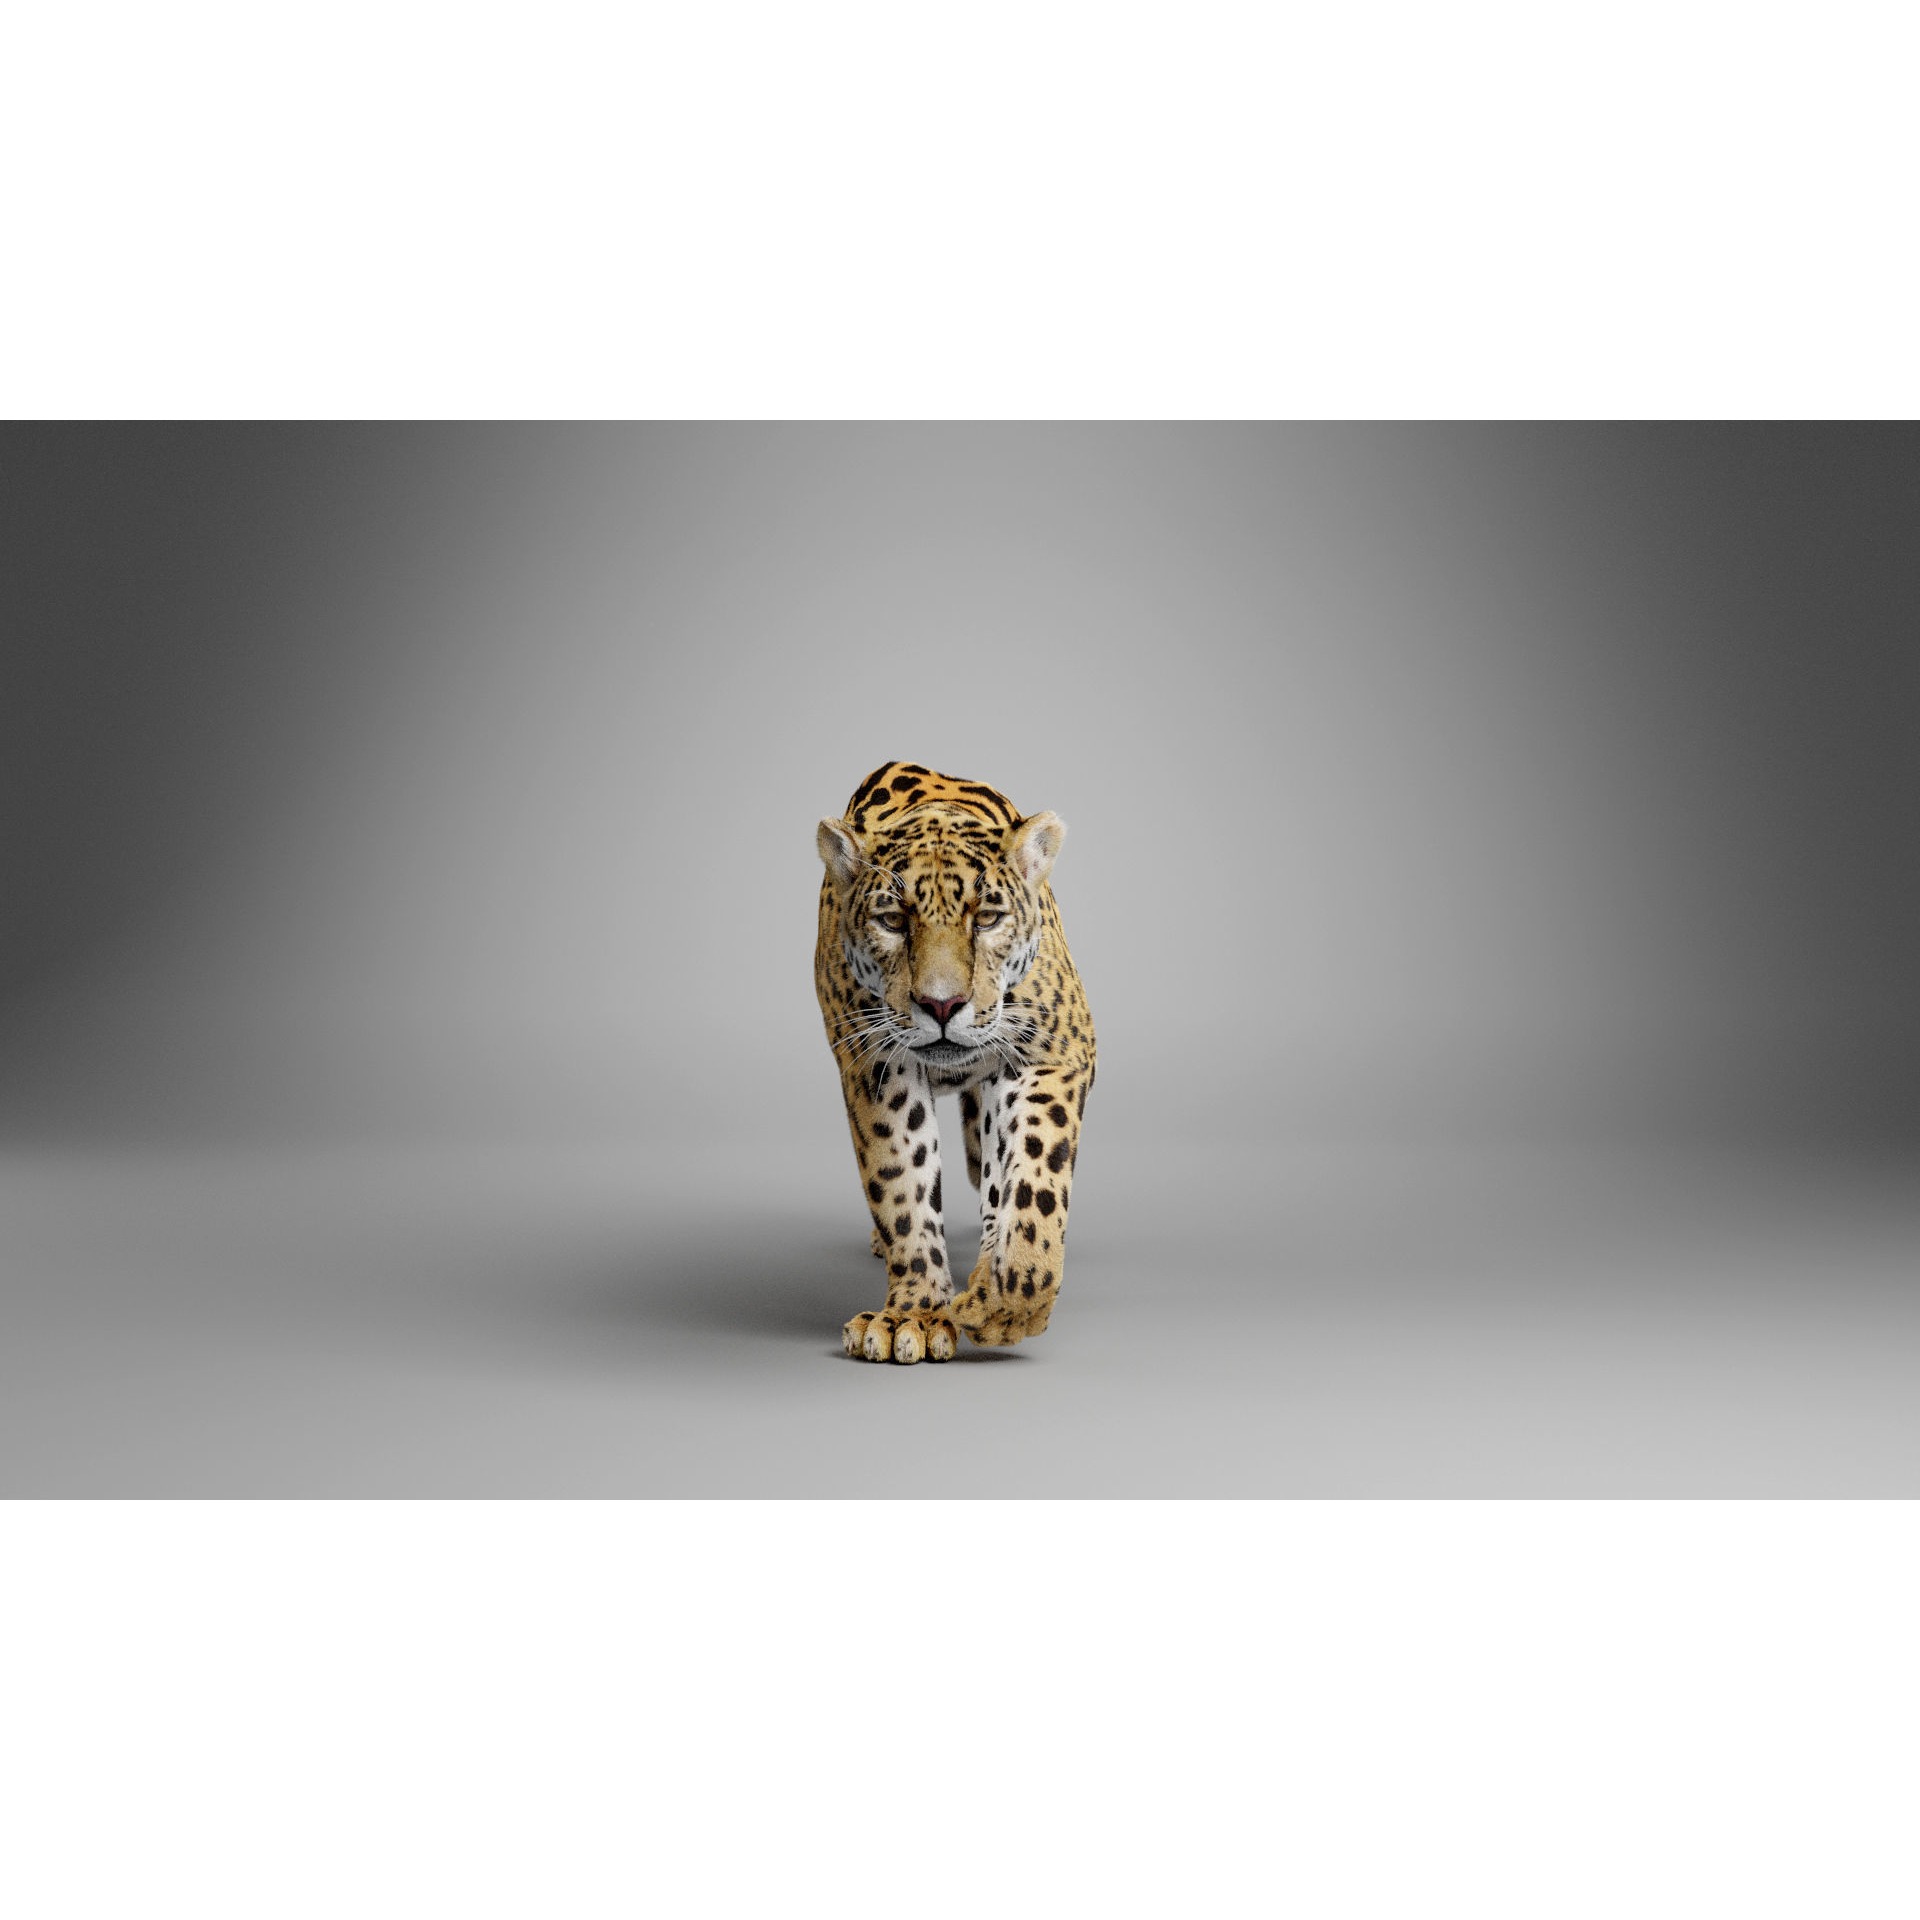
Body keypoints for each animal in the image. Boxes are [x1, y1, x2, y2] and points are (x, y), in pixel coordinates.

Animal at [815, 761, 1096, 1363]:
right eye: (893, 920)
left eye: (987, 917)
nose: (941, 1005)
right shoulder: (877, 1064)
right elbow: (902, 1181)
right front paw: (915, 1313)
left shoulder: (1053, 1051)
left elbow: (1033, 1177)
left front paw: (1009, 1297)